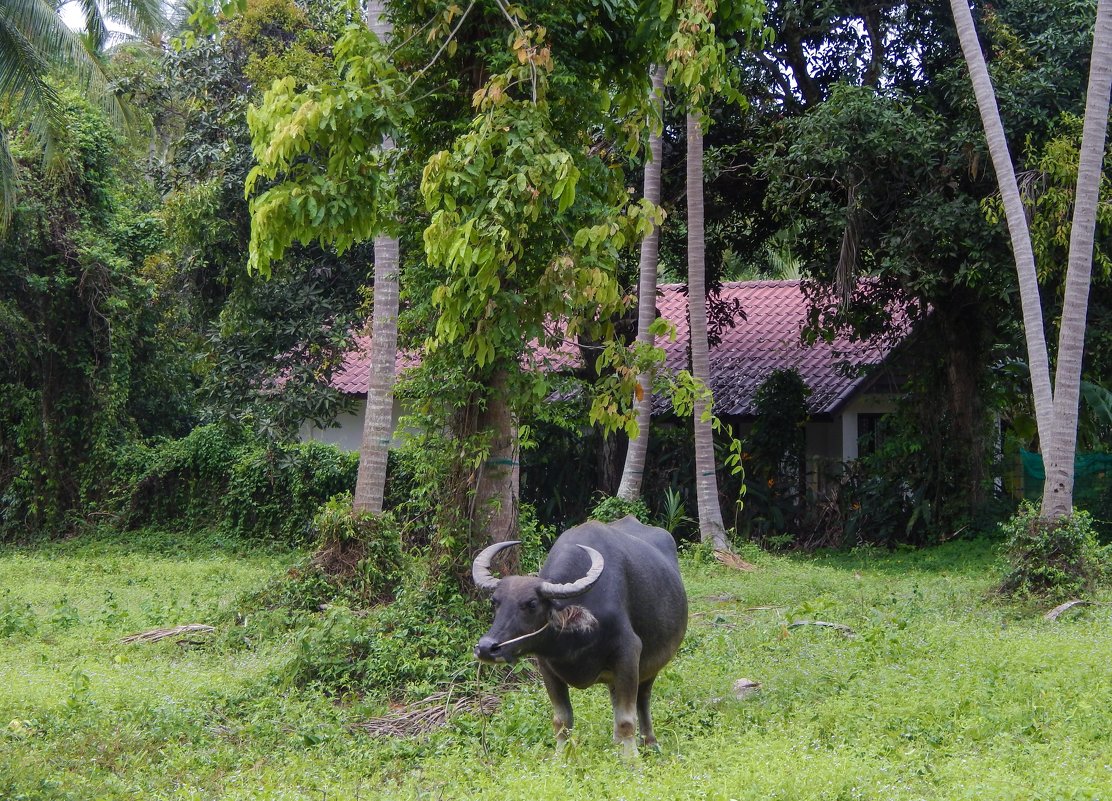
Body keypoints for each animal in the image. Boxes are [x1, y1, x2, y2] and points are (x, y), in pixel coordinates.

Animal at [471, 516, 684, 752]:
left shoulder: (628, 654)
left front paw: (632, 758)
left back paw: (649, 743)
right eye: (495, 602)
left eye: (532, 604)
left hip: (651, 665)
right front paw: (560, 756)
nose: (486, 648)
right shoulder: (547, 667)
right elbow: (561, 720)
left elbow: (626, 720)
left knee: (643, 698)